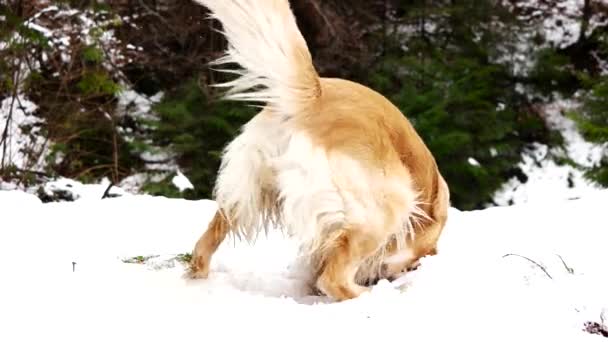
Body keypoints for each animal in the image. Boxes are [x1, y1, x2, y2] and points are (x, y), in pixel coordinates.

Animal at [188, 0, 448, 300]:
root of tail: (314, 97)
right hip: (387, 204)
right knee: (334, 279)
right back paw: (367, 295)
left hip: (247, 189)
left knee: (205, 241)